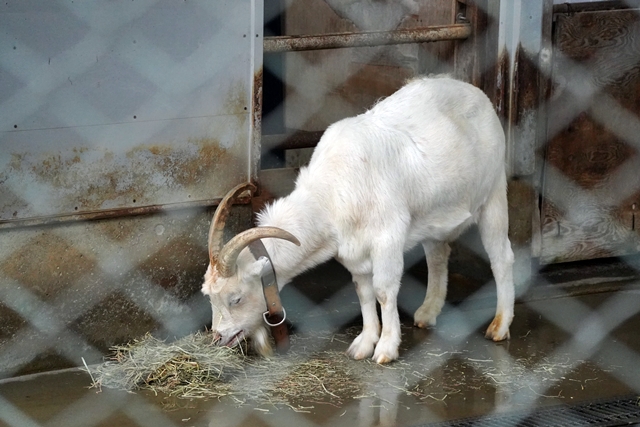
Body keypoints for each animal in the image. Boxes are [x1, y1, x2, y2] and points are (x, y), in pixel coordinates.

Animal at [202, 75, 516, 362]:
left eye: (236, 298)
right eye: (210, 298)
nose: (219, 337)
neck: (331, 193)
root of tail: (475, 92)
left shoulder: (387, 238)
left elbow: (384, 291)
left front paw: (386, 349)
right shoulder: (352, 249)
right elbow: (363, 293)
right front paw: (364, 344)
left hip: (494, 193)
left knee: (502, 257)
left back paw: (499, 327)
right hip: (433, 215)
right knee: (438, 255)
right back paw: (427, 313)